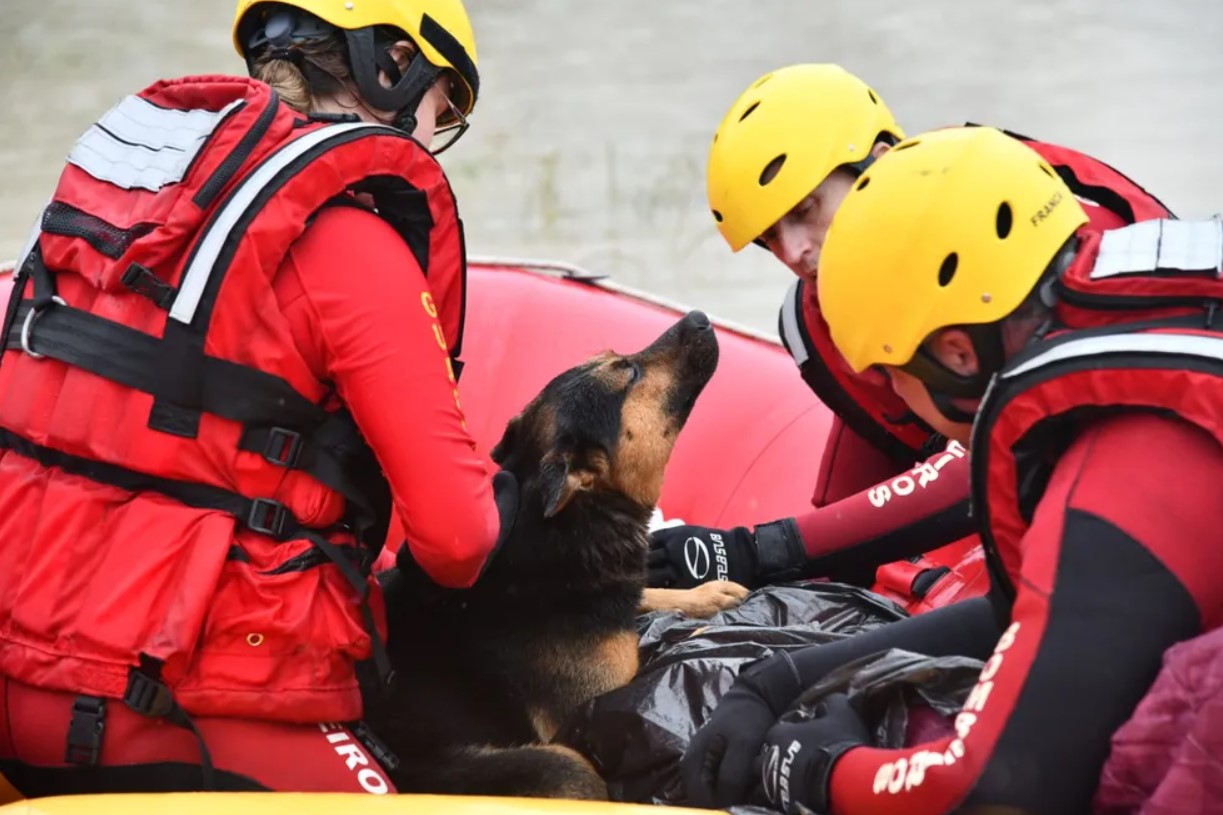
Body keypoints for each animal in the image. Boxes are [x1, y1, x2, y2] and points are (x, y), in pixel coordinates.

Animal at [362, 309, 743, 792]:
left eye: (620, 357)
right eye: (630, 373)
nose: (698, 317)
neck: (572, 519)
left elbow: (648, 597)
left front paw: (706, 596)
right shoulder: (598, 701)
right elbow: (668, 652)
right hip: (561, 766)